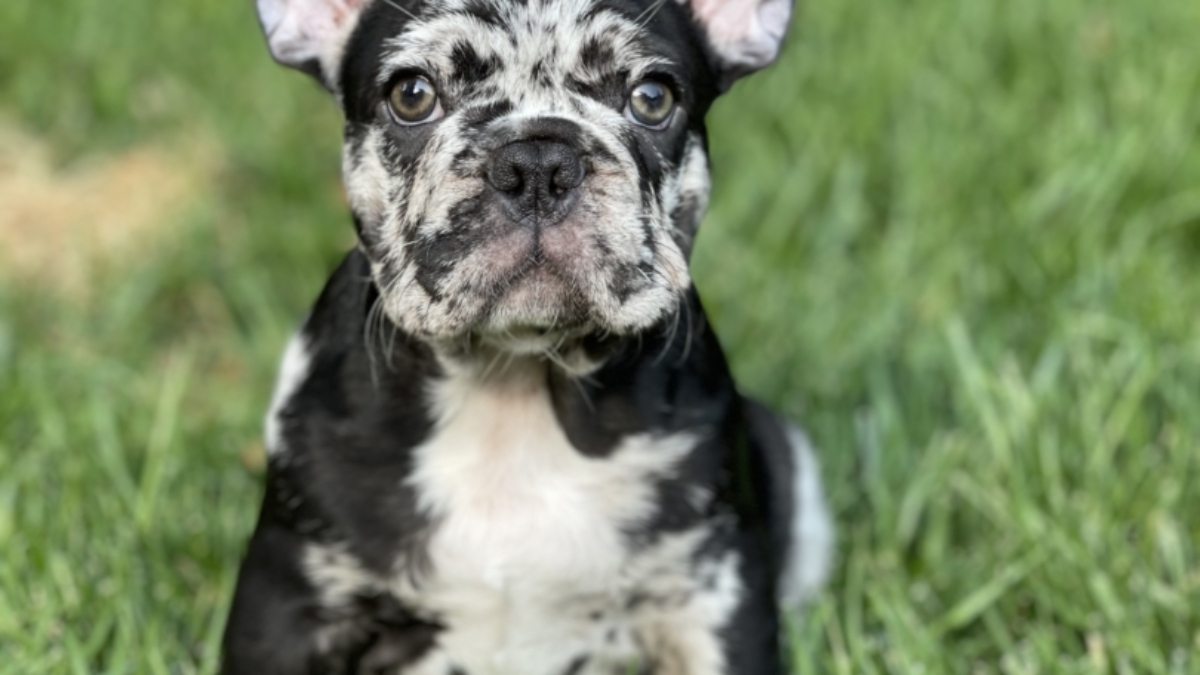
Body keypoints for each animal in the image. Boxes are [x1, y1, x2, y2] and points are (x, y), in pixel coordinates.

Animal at [220, 0, 830, 667]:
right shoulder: (287, 602)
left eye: (652, 97)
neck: (512, 384)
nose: (538, 163)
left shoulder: (711, 594)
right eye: (411, 94)